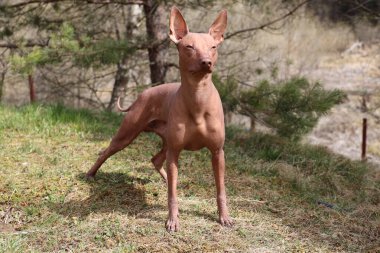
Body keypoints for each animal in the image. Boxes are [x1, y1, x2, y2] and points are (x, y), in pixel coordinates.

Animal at [86, 6, 233, 231]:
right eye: (189, 47)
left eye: (213, 47)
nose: (206, 62)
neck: (198, 99)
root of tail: (143, 94)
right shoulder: (175, 152)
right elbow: (172, 195)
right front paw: (172, 220)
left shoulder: (217, 153)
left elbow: (220, 190)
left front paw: (224, 216)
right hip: (128, 134)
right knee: (106, 152)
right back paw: (90, 174)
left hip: (165, 143)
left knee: (156, 161)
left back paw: (167, 179)